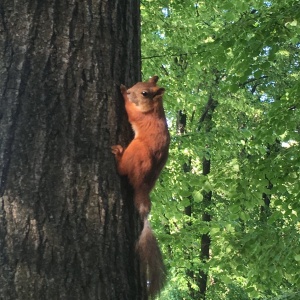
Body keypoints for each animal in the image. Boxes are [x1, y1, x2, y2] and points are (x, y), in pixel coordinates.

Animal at [111, 75, 170, 296]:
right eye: (139, 82)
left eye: (145, 93)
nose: (130, 91)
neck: (155, 109)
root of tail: (143, 189)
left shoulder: (139, 116)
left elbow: (130, 110)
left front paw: (122, 92)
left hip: (135, 151)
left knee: (122, 171)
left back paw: (118, 155)